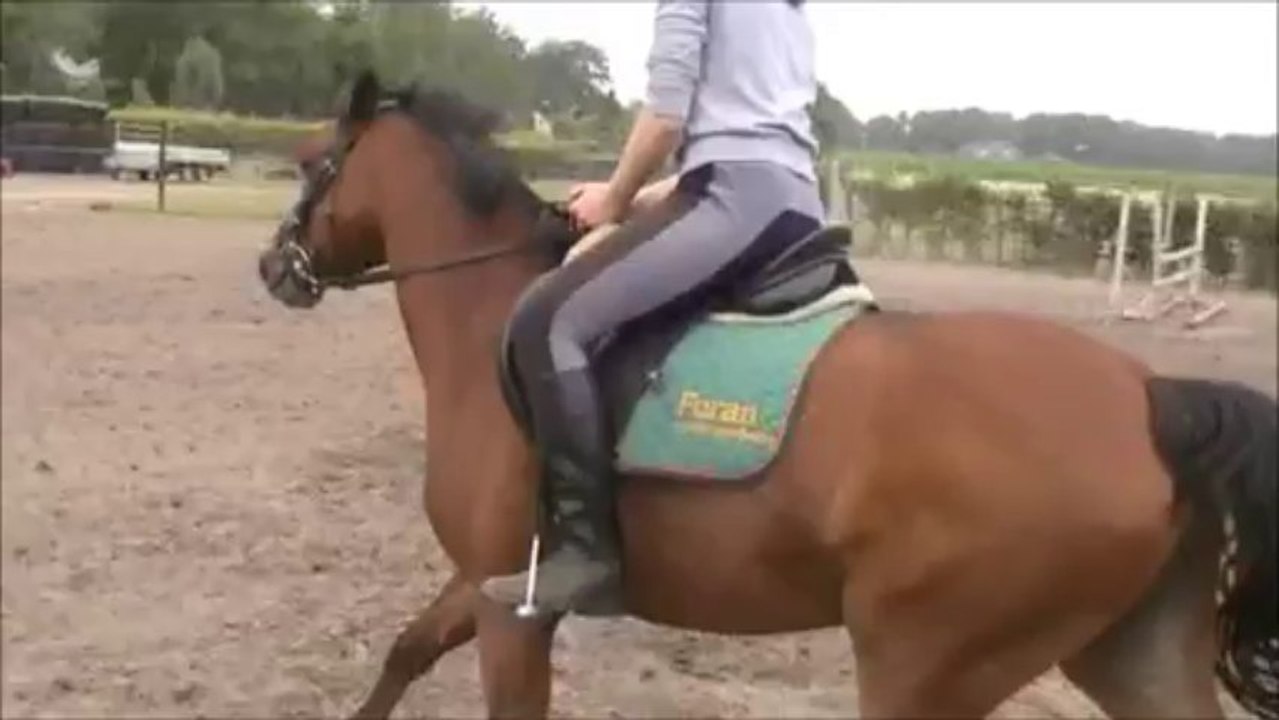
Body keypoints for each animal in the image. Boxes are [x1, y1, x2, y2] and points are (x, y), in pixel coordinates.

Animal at [256, 70, 1277, 719]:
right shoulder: (485, 578)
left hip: (925, 663)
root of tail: (1150, 399)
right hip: (1124, 651)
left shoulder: (516, 607)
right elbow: (405, 649)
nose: (274, 268)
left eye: (309, 160)